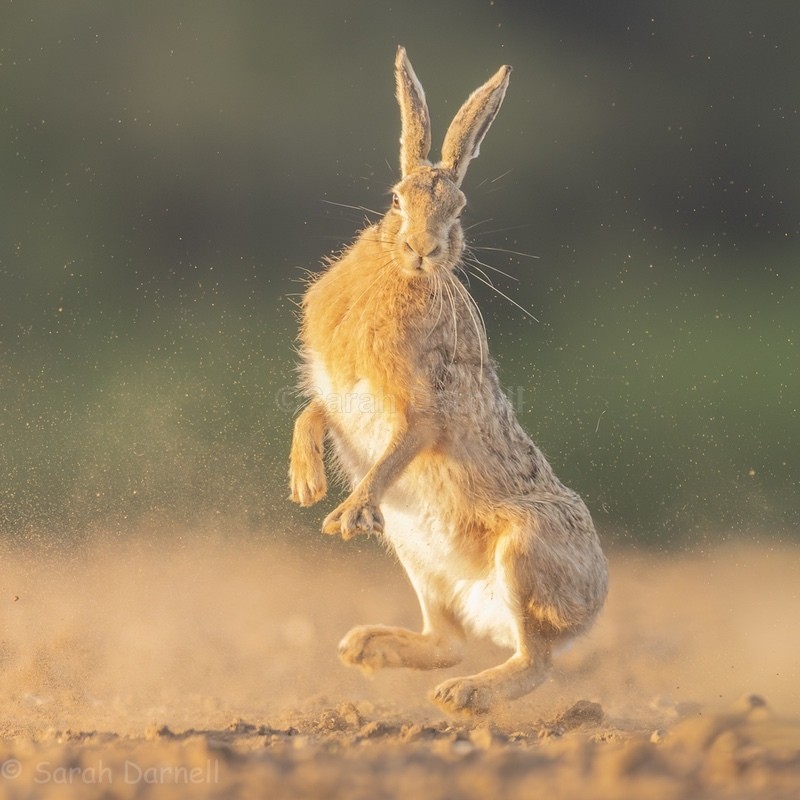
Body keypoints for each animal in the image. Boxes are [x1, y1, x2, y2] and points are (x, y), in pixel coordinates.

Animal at [289, 46, 608, 715]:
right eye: (394, 199)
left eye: (458, 212)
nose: (423, 249)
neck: (396, 274)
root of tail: (593, 606)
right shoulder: (342, 395)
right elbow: (313, 412)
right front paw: (306, 485)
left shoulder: (423, 410)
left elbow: (398, 448)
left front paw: (347, 515)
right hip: (417, 557)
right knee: (448, 641)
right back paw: (363, 648)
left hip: (524, 548)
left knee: (533, 663)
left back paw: (463, 695)